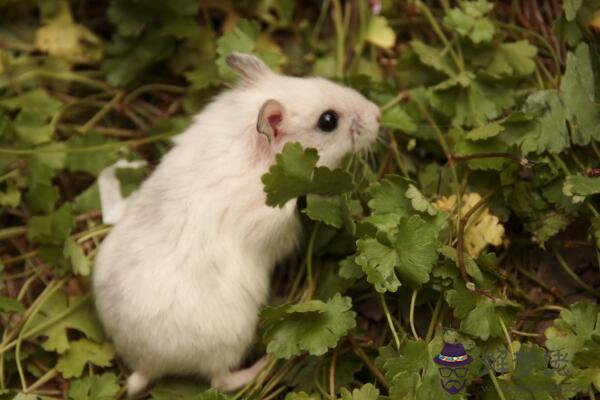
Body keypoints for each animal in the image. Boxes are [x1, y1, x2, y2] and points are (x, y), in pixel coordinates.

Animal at [93, 53, 380, 396]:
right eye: (328, 121)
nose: (378, 115)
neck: (249, 145)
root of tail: (144, 362)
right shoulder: (277, 227)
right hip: (230, 340)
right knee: (221, 379)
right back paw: (263, 366)